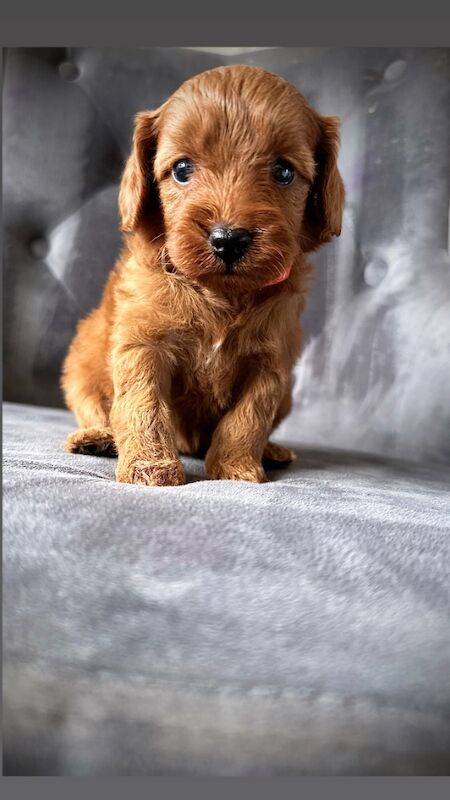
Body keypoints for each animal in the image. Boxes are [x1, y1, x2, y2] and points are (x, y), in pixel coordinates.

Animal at [61, 64, 344, 488]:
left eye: (283, 172)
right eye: (181, 169)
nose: (228, 239)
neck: (220, 293)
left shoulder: (272, 362)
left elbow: (248, 418)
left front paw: (236, 469)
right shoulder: (142, 344)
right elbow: (143, 404)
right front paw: (150, 467)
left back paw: (271, 451)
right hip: (83, 359)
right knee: (95, 404)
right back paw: (97, 438)